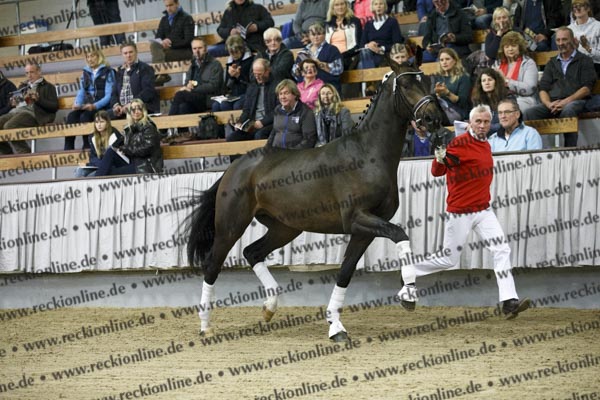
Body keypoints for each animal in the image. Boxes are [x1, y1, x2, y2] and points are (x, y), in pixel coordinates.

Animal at [186, 60, 447, 342]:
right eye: (407, 84)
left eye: (427, 82)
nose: (434, 118)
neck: (367, 154)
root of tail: (235, 166)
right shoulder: (357, 219)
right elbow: (400, 234)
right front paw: (408, 294)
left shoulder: (364, 230)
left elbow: (345, 272)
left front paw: (336, 327)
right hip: (231, 226)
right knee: (213, 265)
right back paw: (206, 326)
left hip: (284, 228)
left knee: (252, 252)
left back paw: (269, 308)